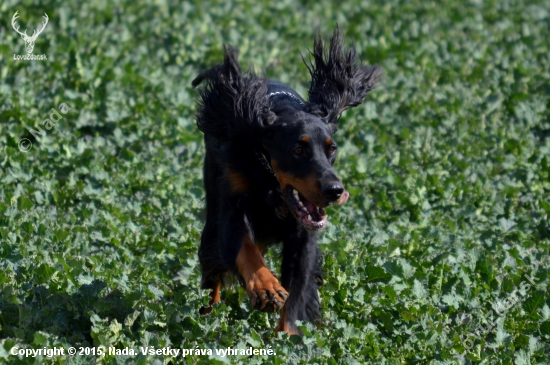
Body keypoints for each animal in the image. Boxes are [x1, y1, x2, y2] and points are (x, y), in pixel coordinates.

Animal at [192, 27, 382, 334]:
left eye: (332, 149)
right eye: (297, 150)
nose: (334, 190)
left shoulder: (303, 236)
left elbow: (296, 292)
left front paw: (288, 336)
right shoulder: (231, 210)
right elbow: (244, 248)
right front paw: (266, 287)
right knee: (213, 273)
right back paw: (208, 316)